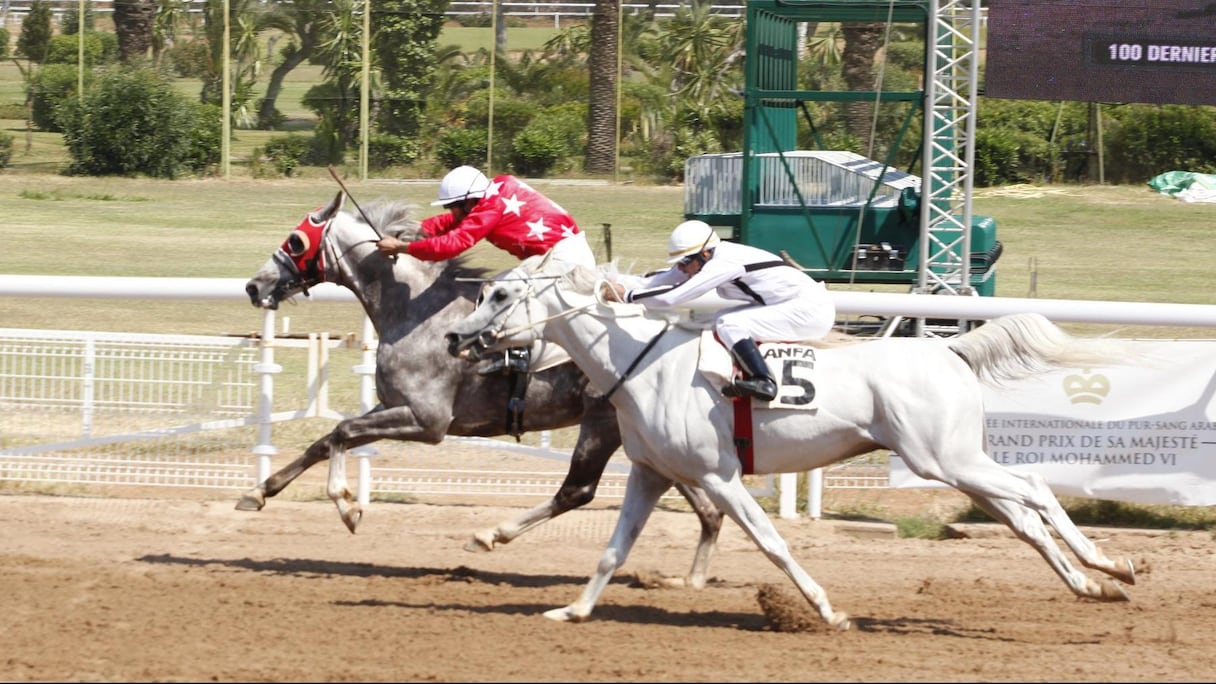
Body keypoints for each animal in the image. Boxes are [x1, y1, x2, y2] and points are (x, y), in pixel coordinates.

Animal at [243, 188, 724, 584]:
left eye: (295, 240)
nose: (253, 285)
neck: (417, 312)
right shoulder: (394, 407)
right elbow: (324, 441)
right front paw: (259, 491)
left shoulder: (428, 420)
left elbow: (342, 432)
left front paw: (347, 505)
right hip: (636, 427)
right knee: (702, 502)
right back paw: (692, 575)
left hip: (602, 421)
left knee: (578, 490)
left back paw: (488, 535)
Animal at [445, 254, 1138, 628]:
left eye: (500, 293)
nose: (455, 339)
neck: (642, 364)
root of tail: (952, 350)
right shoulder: (650, 473)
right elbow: (612, 553)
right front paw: (572, 611)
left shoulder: (719, 477)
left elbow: (772, 543)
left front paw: (826, 611)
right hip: (958, 461)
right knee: (1024, 518)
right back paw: (1090, 584)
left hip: (942, 457)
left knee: (1036, 486)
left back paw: (1112, 564)